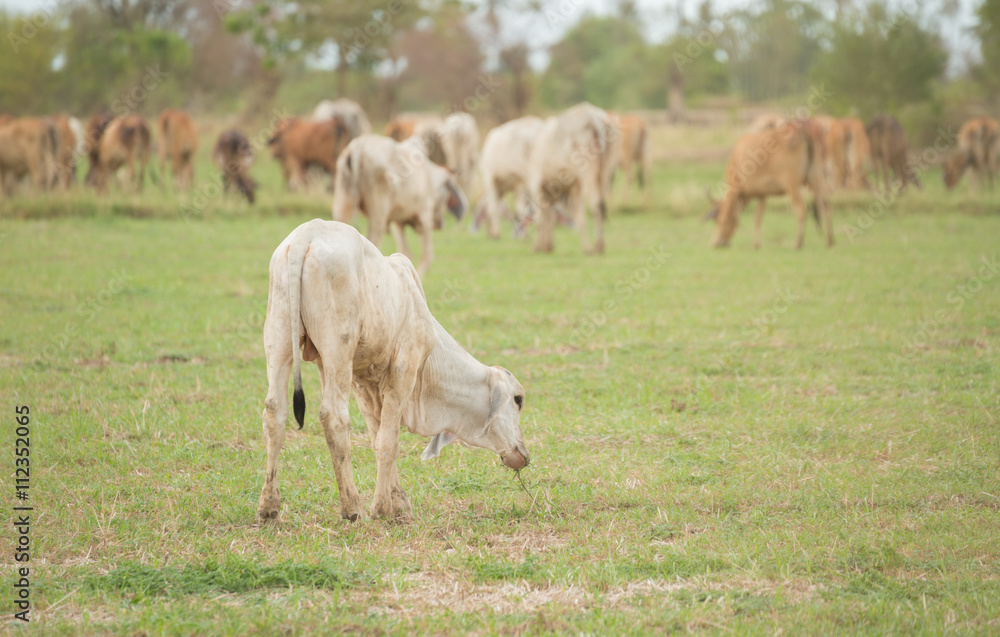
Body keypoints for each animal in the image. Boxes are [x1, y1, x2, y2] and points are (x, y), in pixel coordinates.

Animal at [260, 219, 532, 520]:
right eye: (518, 400)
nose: (523, 453)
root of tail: (306, 235)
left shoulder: (362, 382)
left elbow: (378, 438)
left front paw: (398, 501)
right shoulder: (403, 371)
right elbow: (389, 442)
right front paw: (383, 508)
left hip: (280, 335)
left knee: (275, 411)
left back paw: (269, 506)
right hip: (337, 347)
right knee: (333, 415)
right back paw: (353, 508)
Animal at [330, 134, 466, 276]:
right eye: (446, 194)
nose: (440, 224)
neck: (429, 175)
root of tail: (359, 146)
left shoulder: (398, 222)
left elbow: (405, 252)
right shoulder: (424, 217)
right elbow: (427, 255)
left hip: (343, 201)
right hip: (379, 211)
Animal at [532, 100, 616, 252]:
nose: (543, 247)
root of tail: (591, 115)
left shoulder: (535, 182)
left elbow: (542, 217)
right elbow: (556, 216)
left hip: (587, 172)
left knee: (594, 203)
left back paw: (594, 247)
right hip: (606, 171)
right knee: (600, 203)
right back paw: (599, 245)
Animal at [708, 120, 832, 250]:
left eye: (717, 221)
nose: (717, 243)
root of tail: (804, 133)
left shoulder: (735, 190)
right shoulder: (762, 194)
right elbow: (758, 217)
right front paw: (756, 244)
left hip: (792, 185)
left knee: (801, 208)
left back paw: (797, 243)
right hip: (816, 178)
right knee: (825, 204)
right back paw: (830, 240)